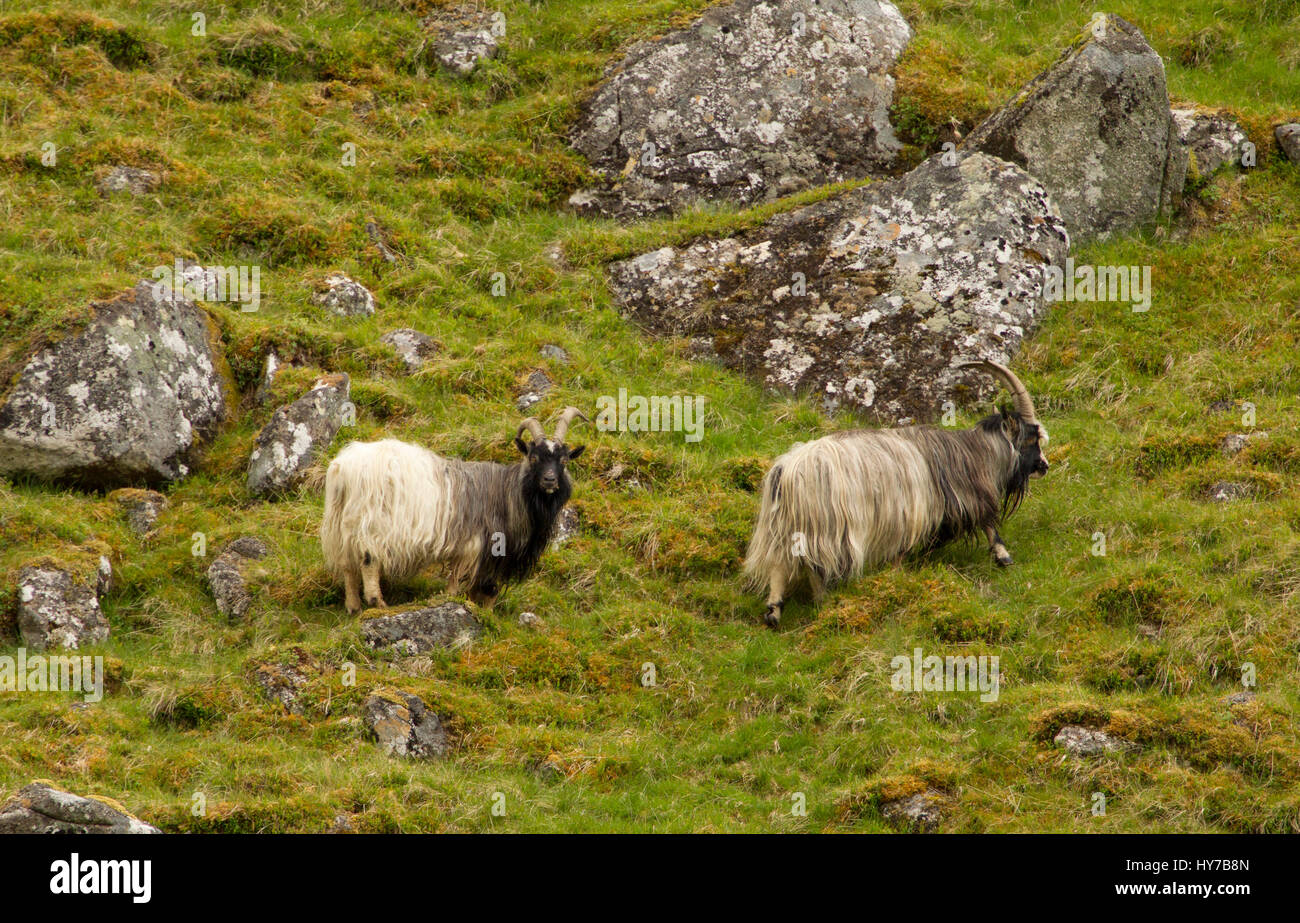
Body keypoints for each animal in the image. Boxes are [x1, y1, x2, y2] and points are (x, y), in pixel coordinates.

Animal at [320, 407, 588, 613]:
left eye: (564, 461)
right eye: (533, 458)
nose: (550, 481)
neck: (508, 493)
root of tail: (343, 468)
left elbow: (484, 590)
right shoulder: (477, 547)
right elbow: (469, 586)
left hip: (341, 525)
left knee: (347, 566)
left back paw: (353, 607)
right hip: (371, 523)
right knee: (368, 561)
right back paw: (378, 602)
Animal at [743, 361, 1049, 627]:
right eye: (1032, 438)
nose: (1044, 466)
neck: (970, 454)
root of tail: (786, 470)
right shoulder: (939, 505)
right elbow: (987, 520)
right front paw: (1003, 556)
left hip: (785, 526)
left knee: (779, 564)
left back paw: (774, 612)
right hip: (823, 526)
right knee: (814, 566)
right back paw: (822, 601)